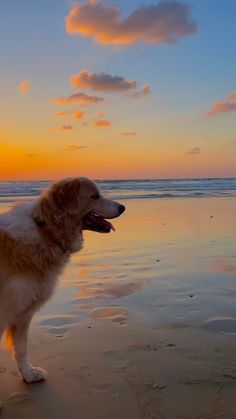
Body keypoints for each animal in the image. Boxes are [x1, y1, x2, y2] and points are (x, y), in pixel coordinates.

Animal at [0, 177, 125, 384]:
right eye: (95, 196)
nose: (123, 207)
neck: (45, 230)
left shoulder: (23, 311)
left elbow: (21, 348)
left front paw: (28, 373)